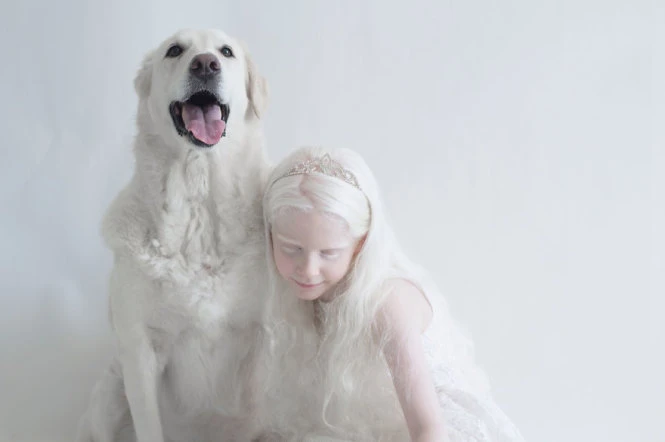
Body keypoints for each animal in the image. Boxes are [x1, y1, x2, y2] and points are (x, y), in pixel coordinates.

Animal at [76, 28, 273, 442]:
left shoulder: (266, 342)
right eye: (175, 51)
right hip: (111, 389)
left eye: (225, 52)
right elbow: (149, 424)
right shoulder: (139, 350)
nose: (205, 64)